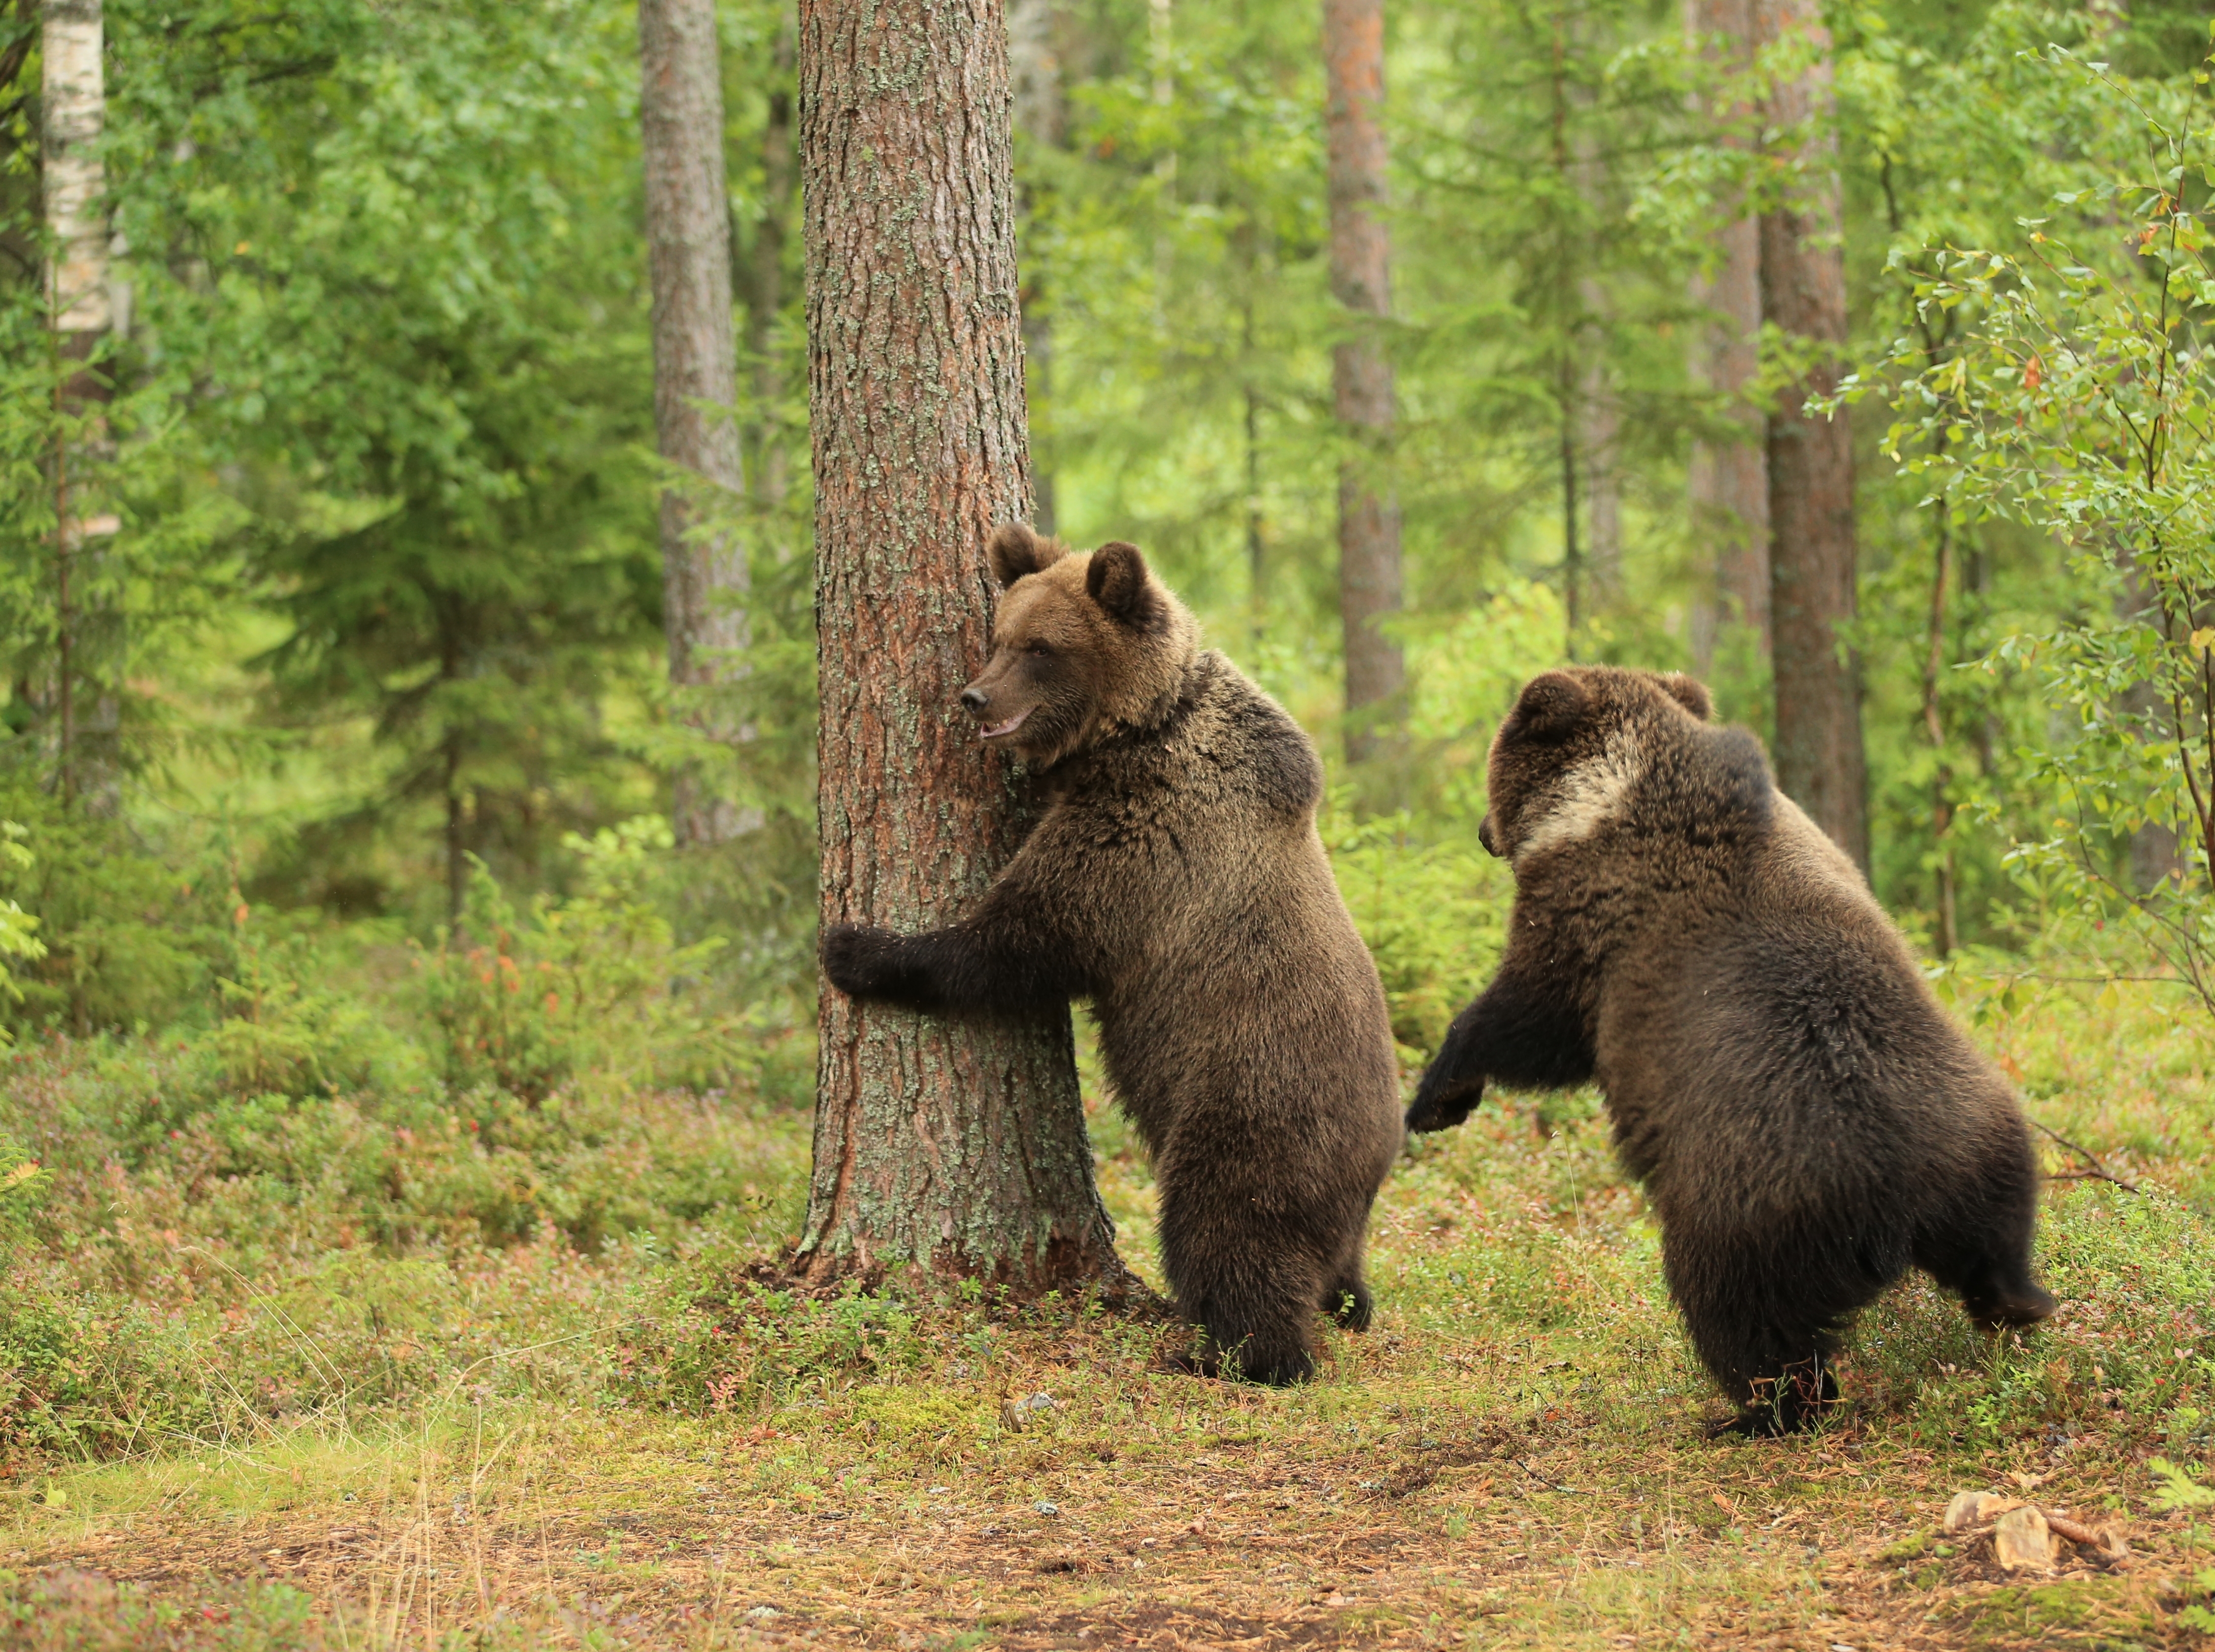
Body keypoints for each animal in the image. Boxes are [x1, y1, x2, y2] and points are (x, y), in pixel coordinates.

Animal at [815, 525, 1400, 1373]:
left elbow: (1018, 942)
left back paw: (1236, 1354)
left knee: (1225, 1230)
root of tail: (1379, 1156)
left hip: (1254, 1108)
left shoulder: (1145, 838)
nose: (974, 696)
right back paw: (1345, 1305)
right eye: (997, 637)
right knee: (1336, 1274)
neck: (1136, 730)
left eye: (1041, 647)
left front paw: (855, 946)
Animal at [1409, 664, 2047, 1426]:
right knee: (1996, 1242)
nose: (1482, 831)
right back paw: (2019, 1305)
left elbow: (1529, 1020)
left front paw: (1437, 1096)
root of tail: (1899, 1200)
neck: (1609, 796)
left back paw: (1756, 1413)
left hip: (1742, 1206)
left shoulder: (1589, 923)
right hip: (1979, 1134)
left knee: (1742, 1318)